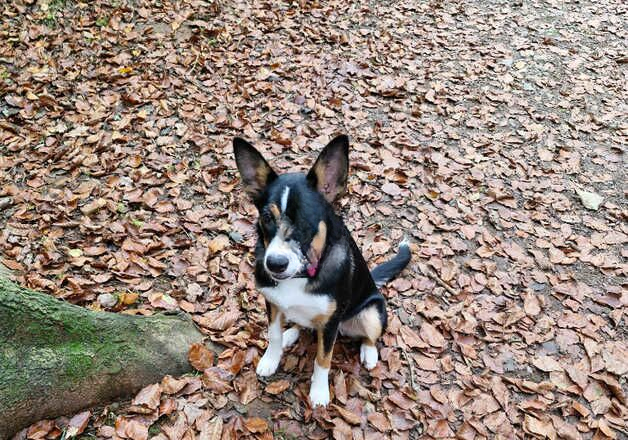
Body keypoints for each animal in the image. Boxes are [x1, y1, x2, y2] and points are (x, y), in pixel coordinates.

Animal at [233, 134, 410, 406]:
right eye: (267, 218)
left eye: (305, 220)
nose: (275, 263)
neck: (301, 276)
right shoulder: (271, 302)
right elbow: (273, 334)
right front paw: (271, 359)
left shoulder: (330, 324)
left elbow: (322, 359)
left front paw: (319, 392)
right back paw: (291, 334)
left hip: (372, 311)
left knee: (370, 335)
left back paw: (369, 353)